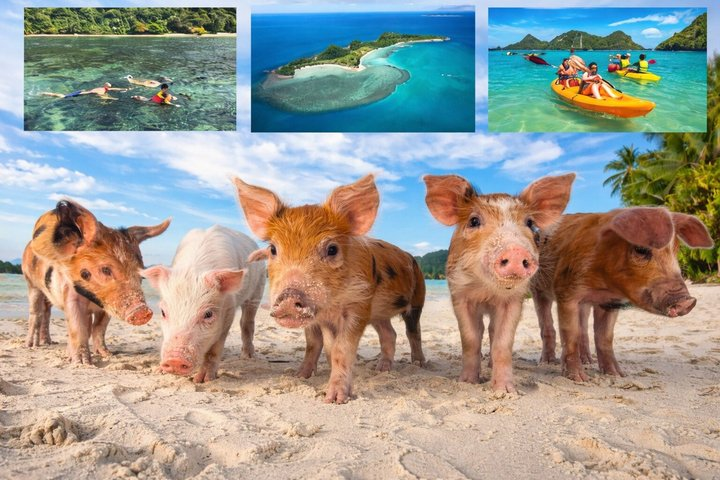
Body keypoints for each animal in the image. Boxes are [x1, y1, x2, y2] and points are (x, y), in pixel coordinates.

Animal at [21, 199, 170, 364]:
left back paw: (48, 343)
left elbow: (99, 328)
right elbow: (77, 325)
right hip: (31, 283)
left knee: (48, 312)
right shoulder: (71, 293)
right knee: (36, 313)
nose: (142, 311)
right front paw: (82, 362)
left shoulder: (107, 305)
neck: (93, 299)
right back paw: (32, 345)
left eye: (141, 275)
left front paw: (107, 355)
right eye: (105, 269)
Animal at [141, 225, 266, 383]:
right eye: (163, 312)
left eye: (208, 314)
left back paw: (248, 357)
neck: (193, 270)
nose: (175, 359)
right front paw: (159, 371)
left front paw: (203, 380)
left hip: (258, 289)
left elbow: (215, 348)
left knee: (247, 322)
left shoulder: (228, 311)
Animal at [233, 174, 425, 404]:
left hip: (418, 299)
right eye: (272, 249)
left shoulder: (360, 305)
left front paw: (335, 399)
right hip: (379, 315)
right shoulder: (324, 318)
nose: (289, 295)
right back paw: (381, 369)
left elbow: (342, 350)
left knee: (413, 332)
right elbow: (323, 346)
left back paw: (419, 364)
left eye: (332, 249)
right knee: (390, 334)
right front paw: (302, 377)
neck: (335, 303)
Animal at [424, 173, 575, 393]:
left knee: (492, 330)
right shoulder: (459, 295)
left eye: (529, 222)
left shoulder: (514, 300)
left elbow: (503, 343)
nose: (516, 251)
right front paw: (467, 382)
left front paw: (505, 391)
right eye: (474, 221)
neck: (487, 290)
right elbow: (470, 339)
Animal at [531, 207, 714, 381]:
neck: (603, 284)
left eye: (675, 250)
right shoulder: (566, 291)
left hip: (584, 304)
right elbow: (570, 334)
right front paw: (579, 379)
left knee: (583, 328)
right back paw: (547, 362)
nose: (687, 300)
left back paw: (588, 361)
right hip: (537, 288)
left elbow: (605, 337)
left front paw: (617, 375)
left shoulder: (610, 303)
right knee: (547, 324)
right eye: (640, 249)